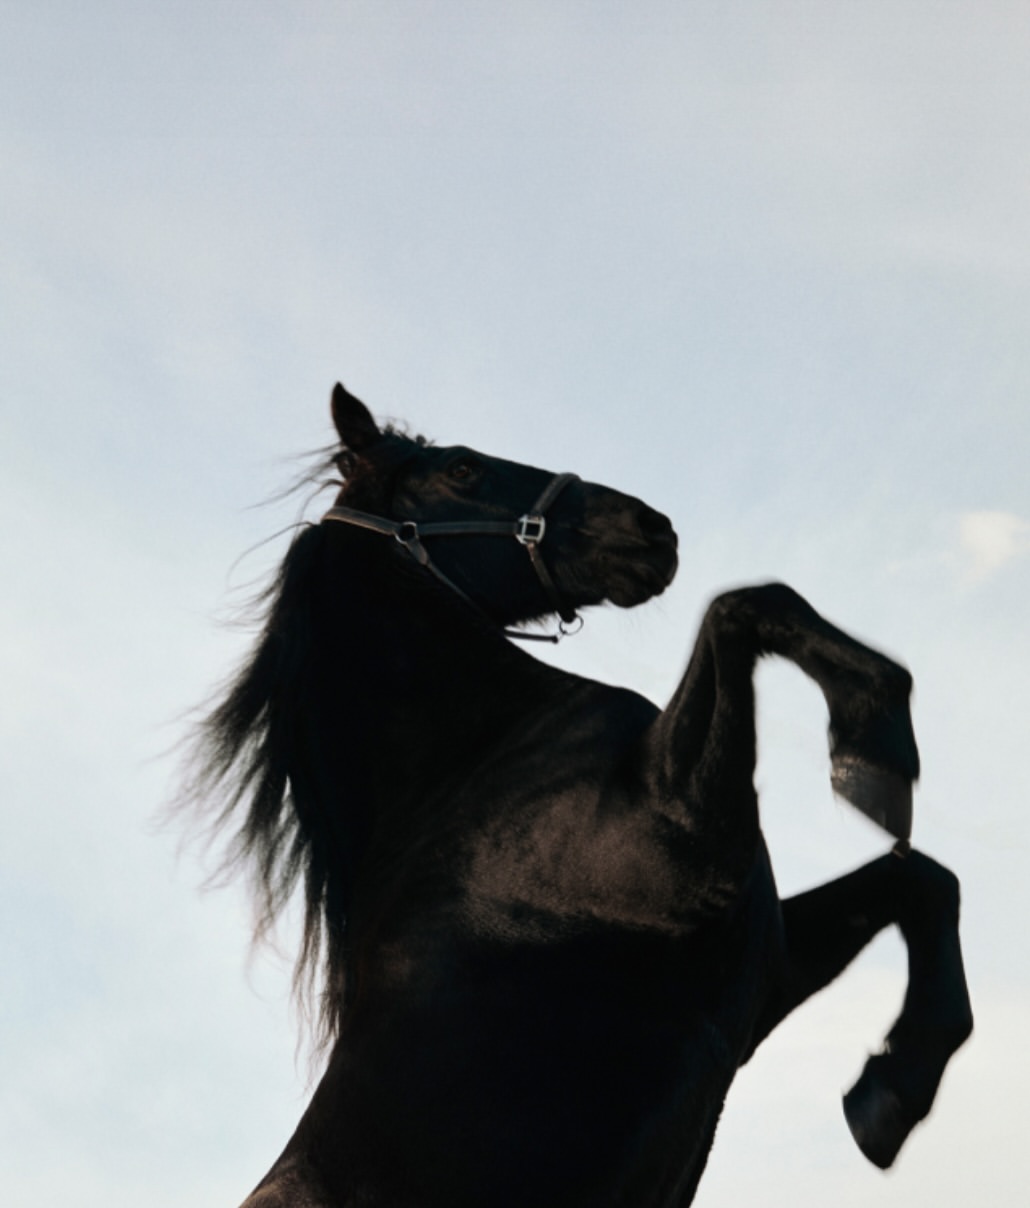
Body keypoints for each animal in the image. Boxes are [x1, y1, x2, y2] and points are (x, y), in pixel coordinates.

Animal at [188, 384, 972, 1208]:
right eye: (462, 469)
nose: (650, 527)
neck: (481, 772)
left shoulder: (763, 978)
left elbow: (923, 879)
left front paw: (891, 1092)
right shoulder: (683, 835)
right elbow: (744, 608)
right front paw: (873, 738)